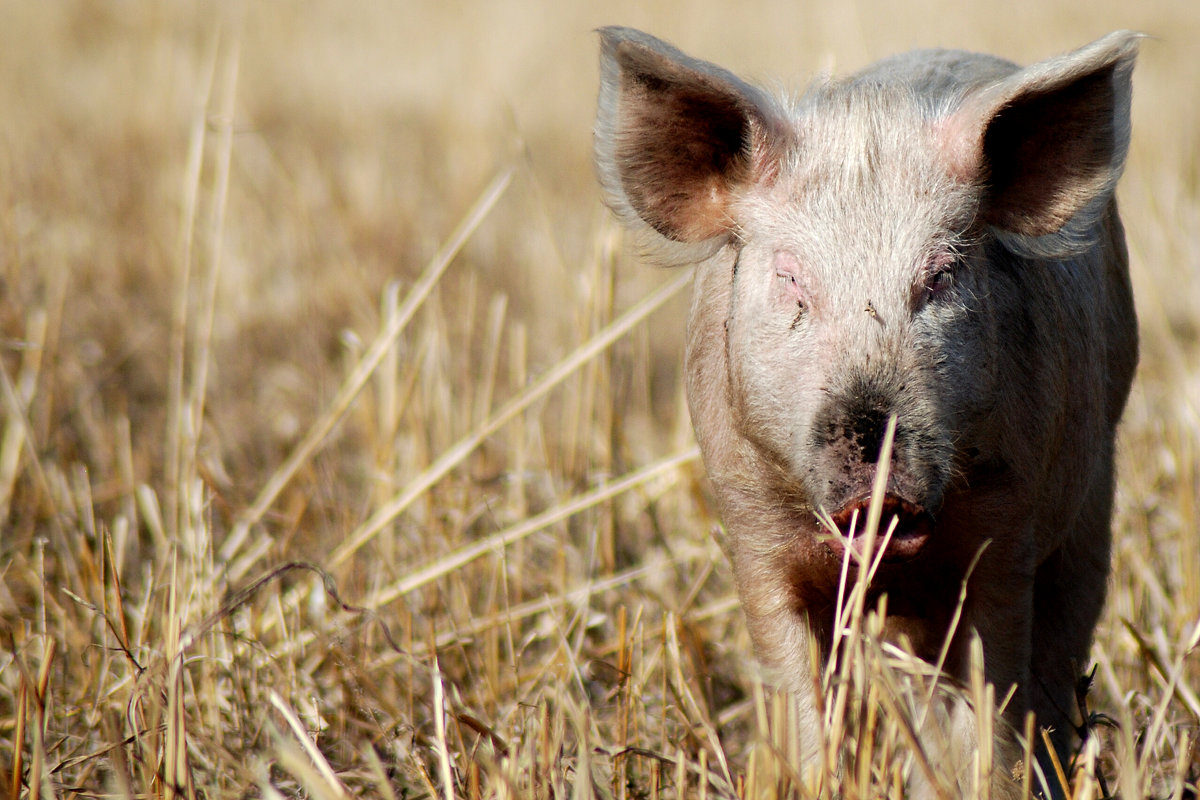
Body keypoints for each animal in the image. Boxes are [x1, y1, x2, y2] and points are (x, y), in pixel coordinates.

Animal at [595, 25, 1137, 796]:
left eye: (941, 276)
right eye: (791, 277)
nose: (873, 427)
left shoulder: (1005, 536)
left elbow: (996, 705)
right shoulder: (754, 532)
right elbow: (802, 699)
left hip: (1095, 493)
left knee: (1064, 643)